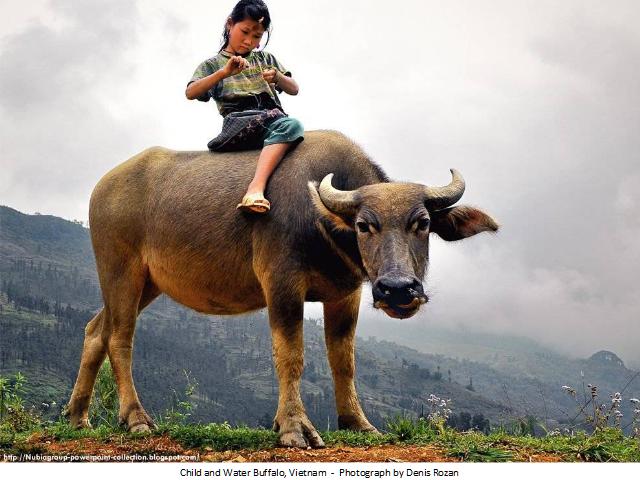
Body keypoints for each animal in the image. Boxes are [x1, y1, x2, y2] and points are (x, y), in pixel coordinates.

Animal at [69, 130, 500, 446]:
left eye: (422, 223)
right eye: (365, 225)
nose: (397, 289)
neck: (324, 225)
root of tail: (102, 187)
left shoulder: (346, 293)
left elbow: (344, 360)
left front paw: (358, 423)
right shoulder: (281, 284)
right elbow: (290, 355)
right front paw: (294, 427)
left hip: (147, 283)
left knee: (96, 330)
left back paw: (77, 417)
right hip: (119, 270)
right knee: (120, 338)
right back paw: (136, 419)